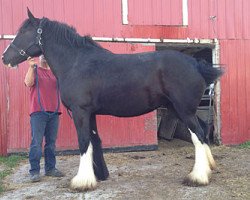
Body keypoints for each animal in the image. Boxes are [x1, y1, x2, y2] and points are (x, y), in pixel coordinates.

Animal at [1, 9, 224, 191]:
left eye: (23, 32)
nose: (5, 57)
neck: (76, 63)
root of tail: (196, 64)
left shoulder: (80, 112)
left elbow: (84, 141)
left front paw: (81, 182)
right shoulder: (89, 113)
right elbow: (94, 140)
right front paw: (98, 176)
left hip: (184, 110)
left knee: (198, 135)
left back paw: (198, 177)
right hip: (179, 109)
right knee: (203, 130)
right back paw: (209, 169)